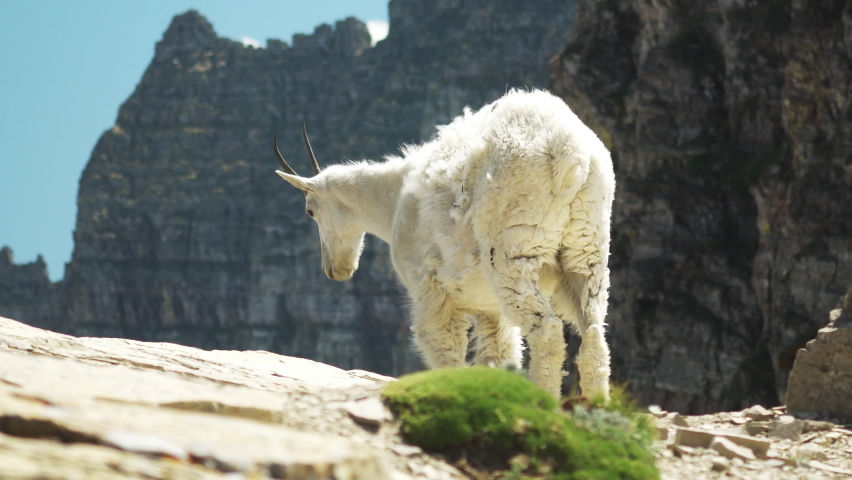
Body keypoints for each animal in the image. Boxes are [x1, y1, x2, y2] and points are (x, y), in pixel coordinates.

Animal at [274, 89, 613, 399]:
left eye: (310, 211)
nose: (335, 270)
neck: (393, 197)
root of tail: (573, 156)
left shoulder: (428, 285)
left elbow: (442, 345)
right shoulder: (489, 309)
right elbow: (498, 354)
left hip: (514, 251)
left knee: (548, 332)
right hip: (586, 250)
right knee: (594, 335)